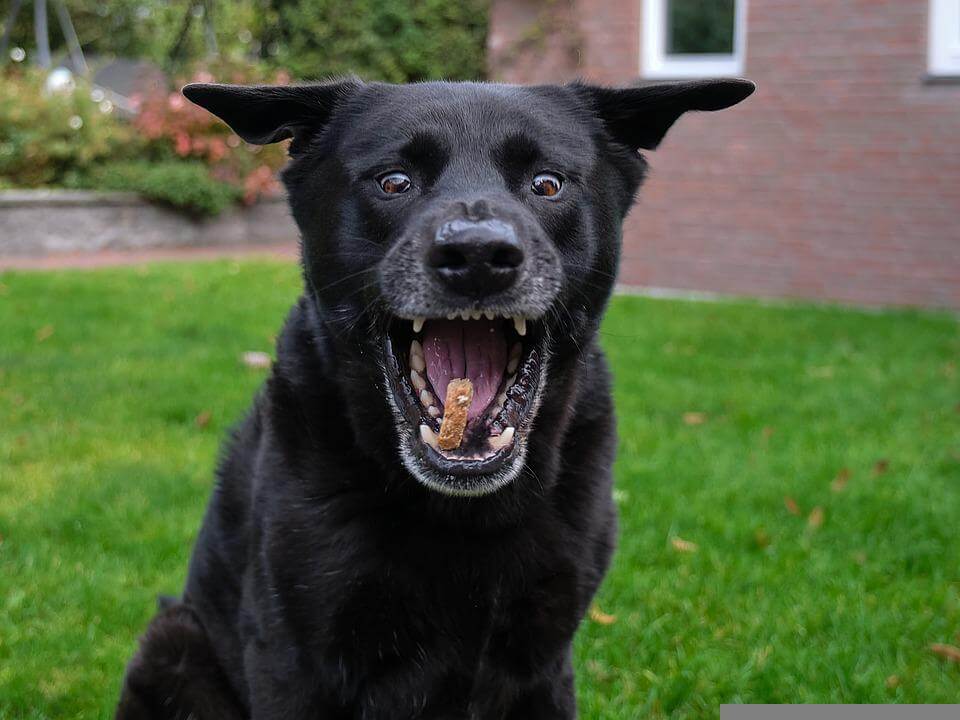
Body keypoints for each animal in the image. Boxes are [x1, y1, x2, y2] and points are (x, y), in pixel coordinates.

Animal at [116, 76, 752, 716]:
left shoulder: (546, 661)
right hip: (173, 639)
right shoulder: (291, 660)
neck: (462, 515)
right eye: (394, 181)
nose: (477, 255)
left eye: (547, 183)